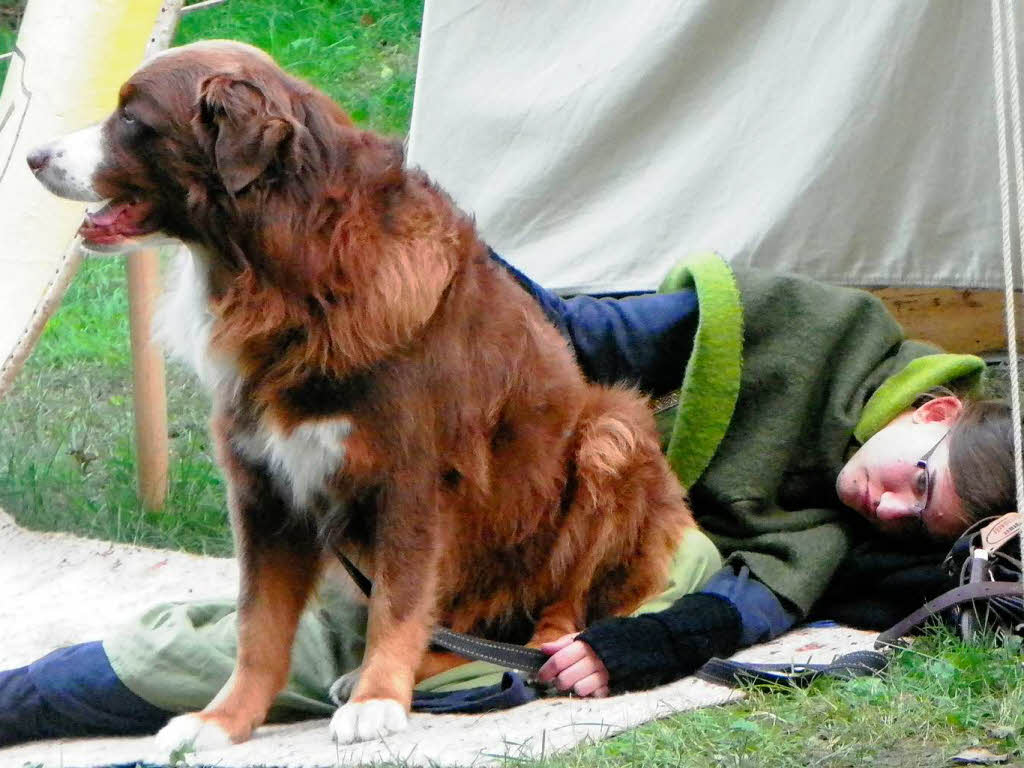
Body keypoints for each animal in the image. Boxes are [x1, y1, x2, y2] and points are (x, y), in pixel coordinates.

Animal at [29, 40, 696, 745]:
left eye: (133, 117)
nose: (33, 157)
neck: (291, 278)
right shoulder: (267, 488)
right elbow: (258, 626)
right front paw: (224, 718)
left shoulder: (410, 481)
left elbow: (399, 604)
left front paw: (378, 699)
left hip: (612, 432)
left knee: (550, 619)